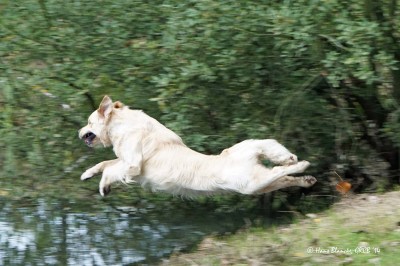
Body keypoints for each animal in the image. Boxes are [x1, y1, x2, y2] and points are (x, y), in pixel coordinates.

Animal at [78, 95, 316, 195]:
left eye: (89, 122)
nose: (79, 133)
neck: (121, 126)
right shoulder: (124, 161)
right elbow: (105, 163)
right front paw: (87, 174)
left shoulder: (133, 164)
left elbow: (110, 169)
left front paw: (103, 186)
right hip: (258, 181)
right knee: (283, 174)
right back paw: (304, 177)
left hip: (252, 181)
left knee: (280, 170)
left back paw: (302, 165)